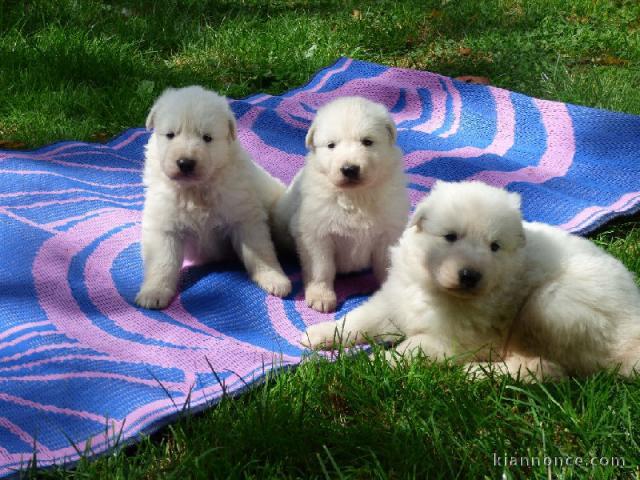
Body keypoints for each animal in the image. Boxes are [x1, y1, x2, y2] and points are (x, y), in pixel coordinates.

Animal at [138, 85, 292, 312]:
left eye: (207, 138)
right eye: (170, 135)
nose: (185, 163)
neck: (195, 191)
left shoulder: (245, 217)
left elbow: (260, 253)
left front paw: (275, 278)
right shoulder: (164, 225)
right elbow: (162, 262)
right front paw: (154, 292)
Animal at [272, 96, 408, 314]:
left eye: (367, 142)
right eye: (331, 145)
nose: (349, 169)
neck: (355, 197)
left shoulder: (388, 233)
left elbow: (386, 265)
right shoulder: (316, 234)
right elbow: (322, 268)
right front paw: (321, 296)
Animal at [302, 182, 640, 380]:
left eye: (495, 247)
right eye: (450, 237)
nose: (470, 276)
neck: (435, 291)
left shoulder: (453, 339)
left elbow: (412, 347)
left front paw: (373, 364)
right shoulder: (395, 301)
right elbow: (360, 319)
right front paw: (317, 334)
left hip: (551, 305)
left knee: (547, 368)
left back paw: (478, 373)